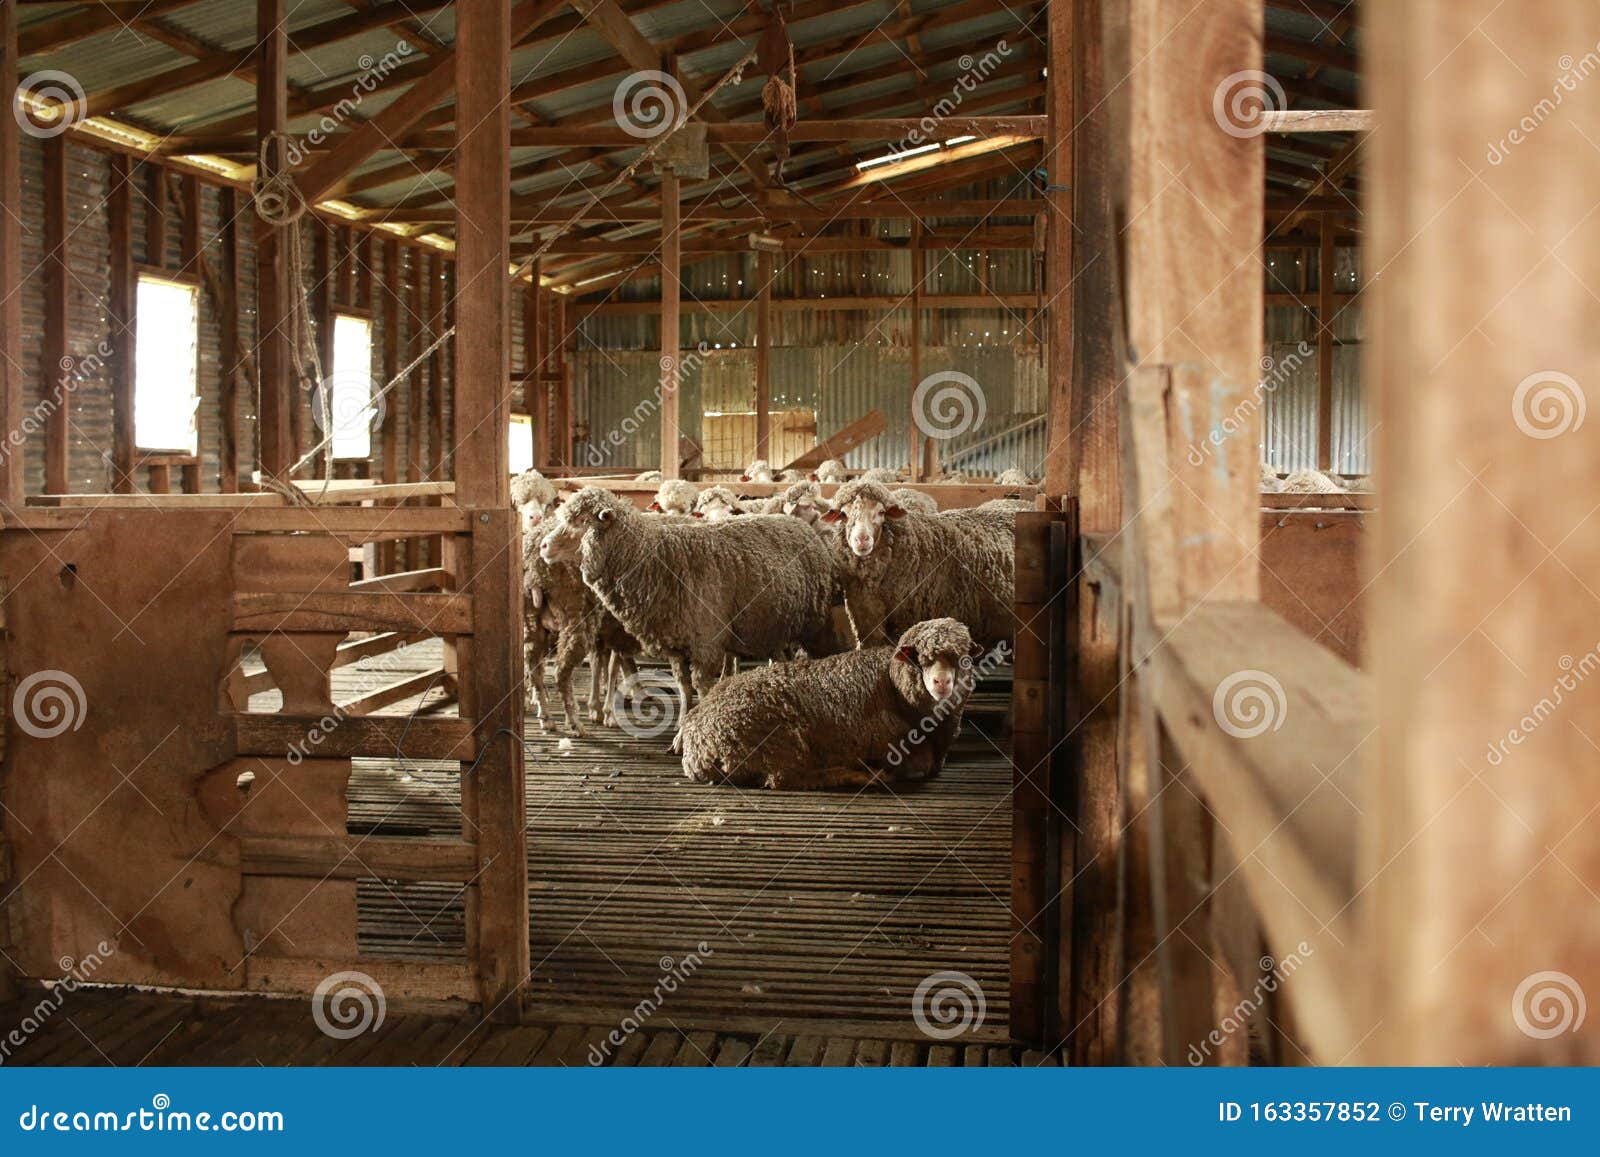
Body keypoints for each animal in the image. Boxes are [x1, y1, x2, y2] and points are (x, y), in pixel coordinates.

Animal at [540, 489, 838, 723]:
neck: (651, 558)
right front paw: (681, 729)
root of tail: (798, 524)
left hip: (815, 627)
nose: (543, 545)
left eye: (581, 521)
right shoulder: (676, 645)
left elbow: (702, 689)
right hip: (773, 627)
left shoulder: (705, 645)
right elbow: (684, 689)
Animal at [678, 620, 985, 790]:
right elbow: (918, 765)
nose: (941, 683)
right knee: (785, 778)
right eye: (920, 659)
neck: (893, 686)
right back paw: (860, 776)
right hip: (779, 743)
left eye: (962, 658)